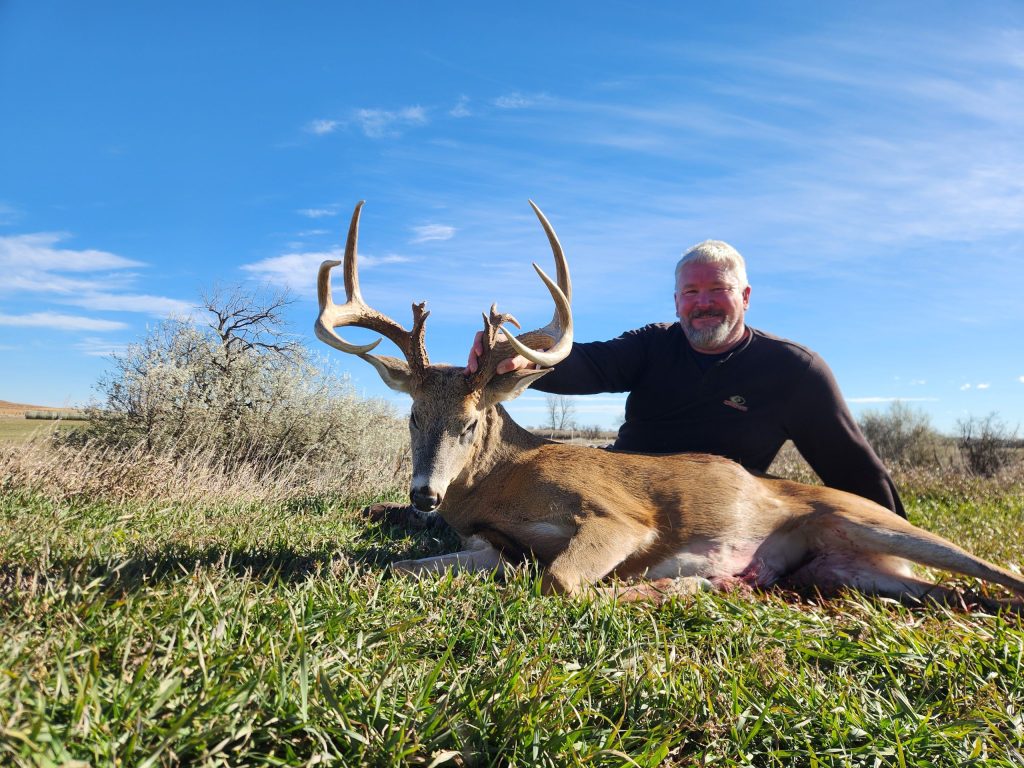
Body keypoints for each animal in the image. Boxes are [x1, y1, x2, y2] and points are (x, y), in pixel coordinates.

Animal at [315, 201, 1024, 610]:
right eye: (412, 417)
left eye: (469, 422)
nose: (424, 495)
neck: (501, 481)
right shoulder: (492, 545)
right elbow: (387, 566)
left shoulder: (619, 519)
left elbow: (562, 582)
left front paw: (659, 583)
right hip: (848, 571)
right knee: (953, 594)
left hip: (872, 520)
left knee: (994, 573)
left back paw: (697, 581)